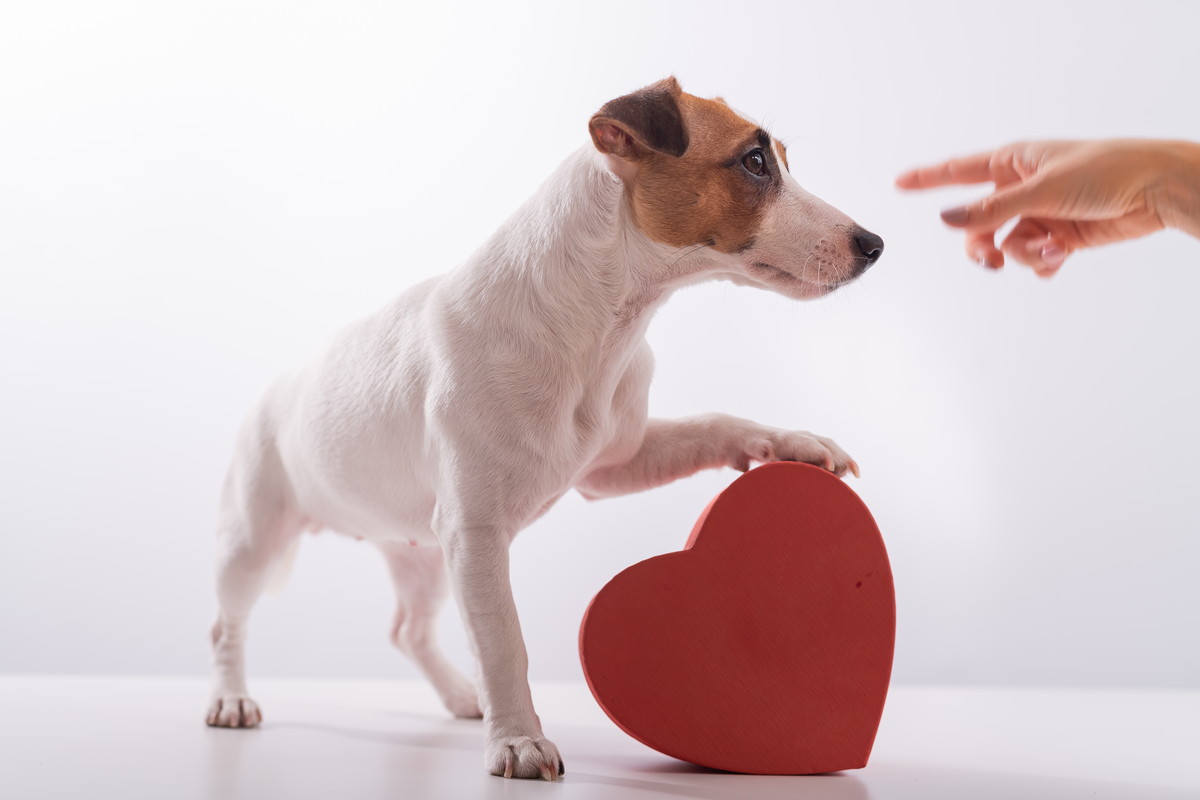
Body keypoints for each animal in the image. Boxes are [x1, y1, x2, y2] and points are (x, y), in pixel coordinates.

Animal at [206, 79, 883, 782]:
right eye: (754, 162)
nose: (874, 244)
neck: (601, 323)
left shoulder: (614, 466)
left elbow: (713, 423)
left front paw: (796, 442)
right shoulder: (476, 534)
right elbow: (503, 641)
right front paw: (518, 741)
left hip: (422, 554)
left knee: (408, 631)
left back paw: (460, 695)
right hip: (253, 541)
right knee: (227, 625)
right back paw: (231, 699)